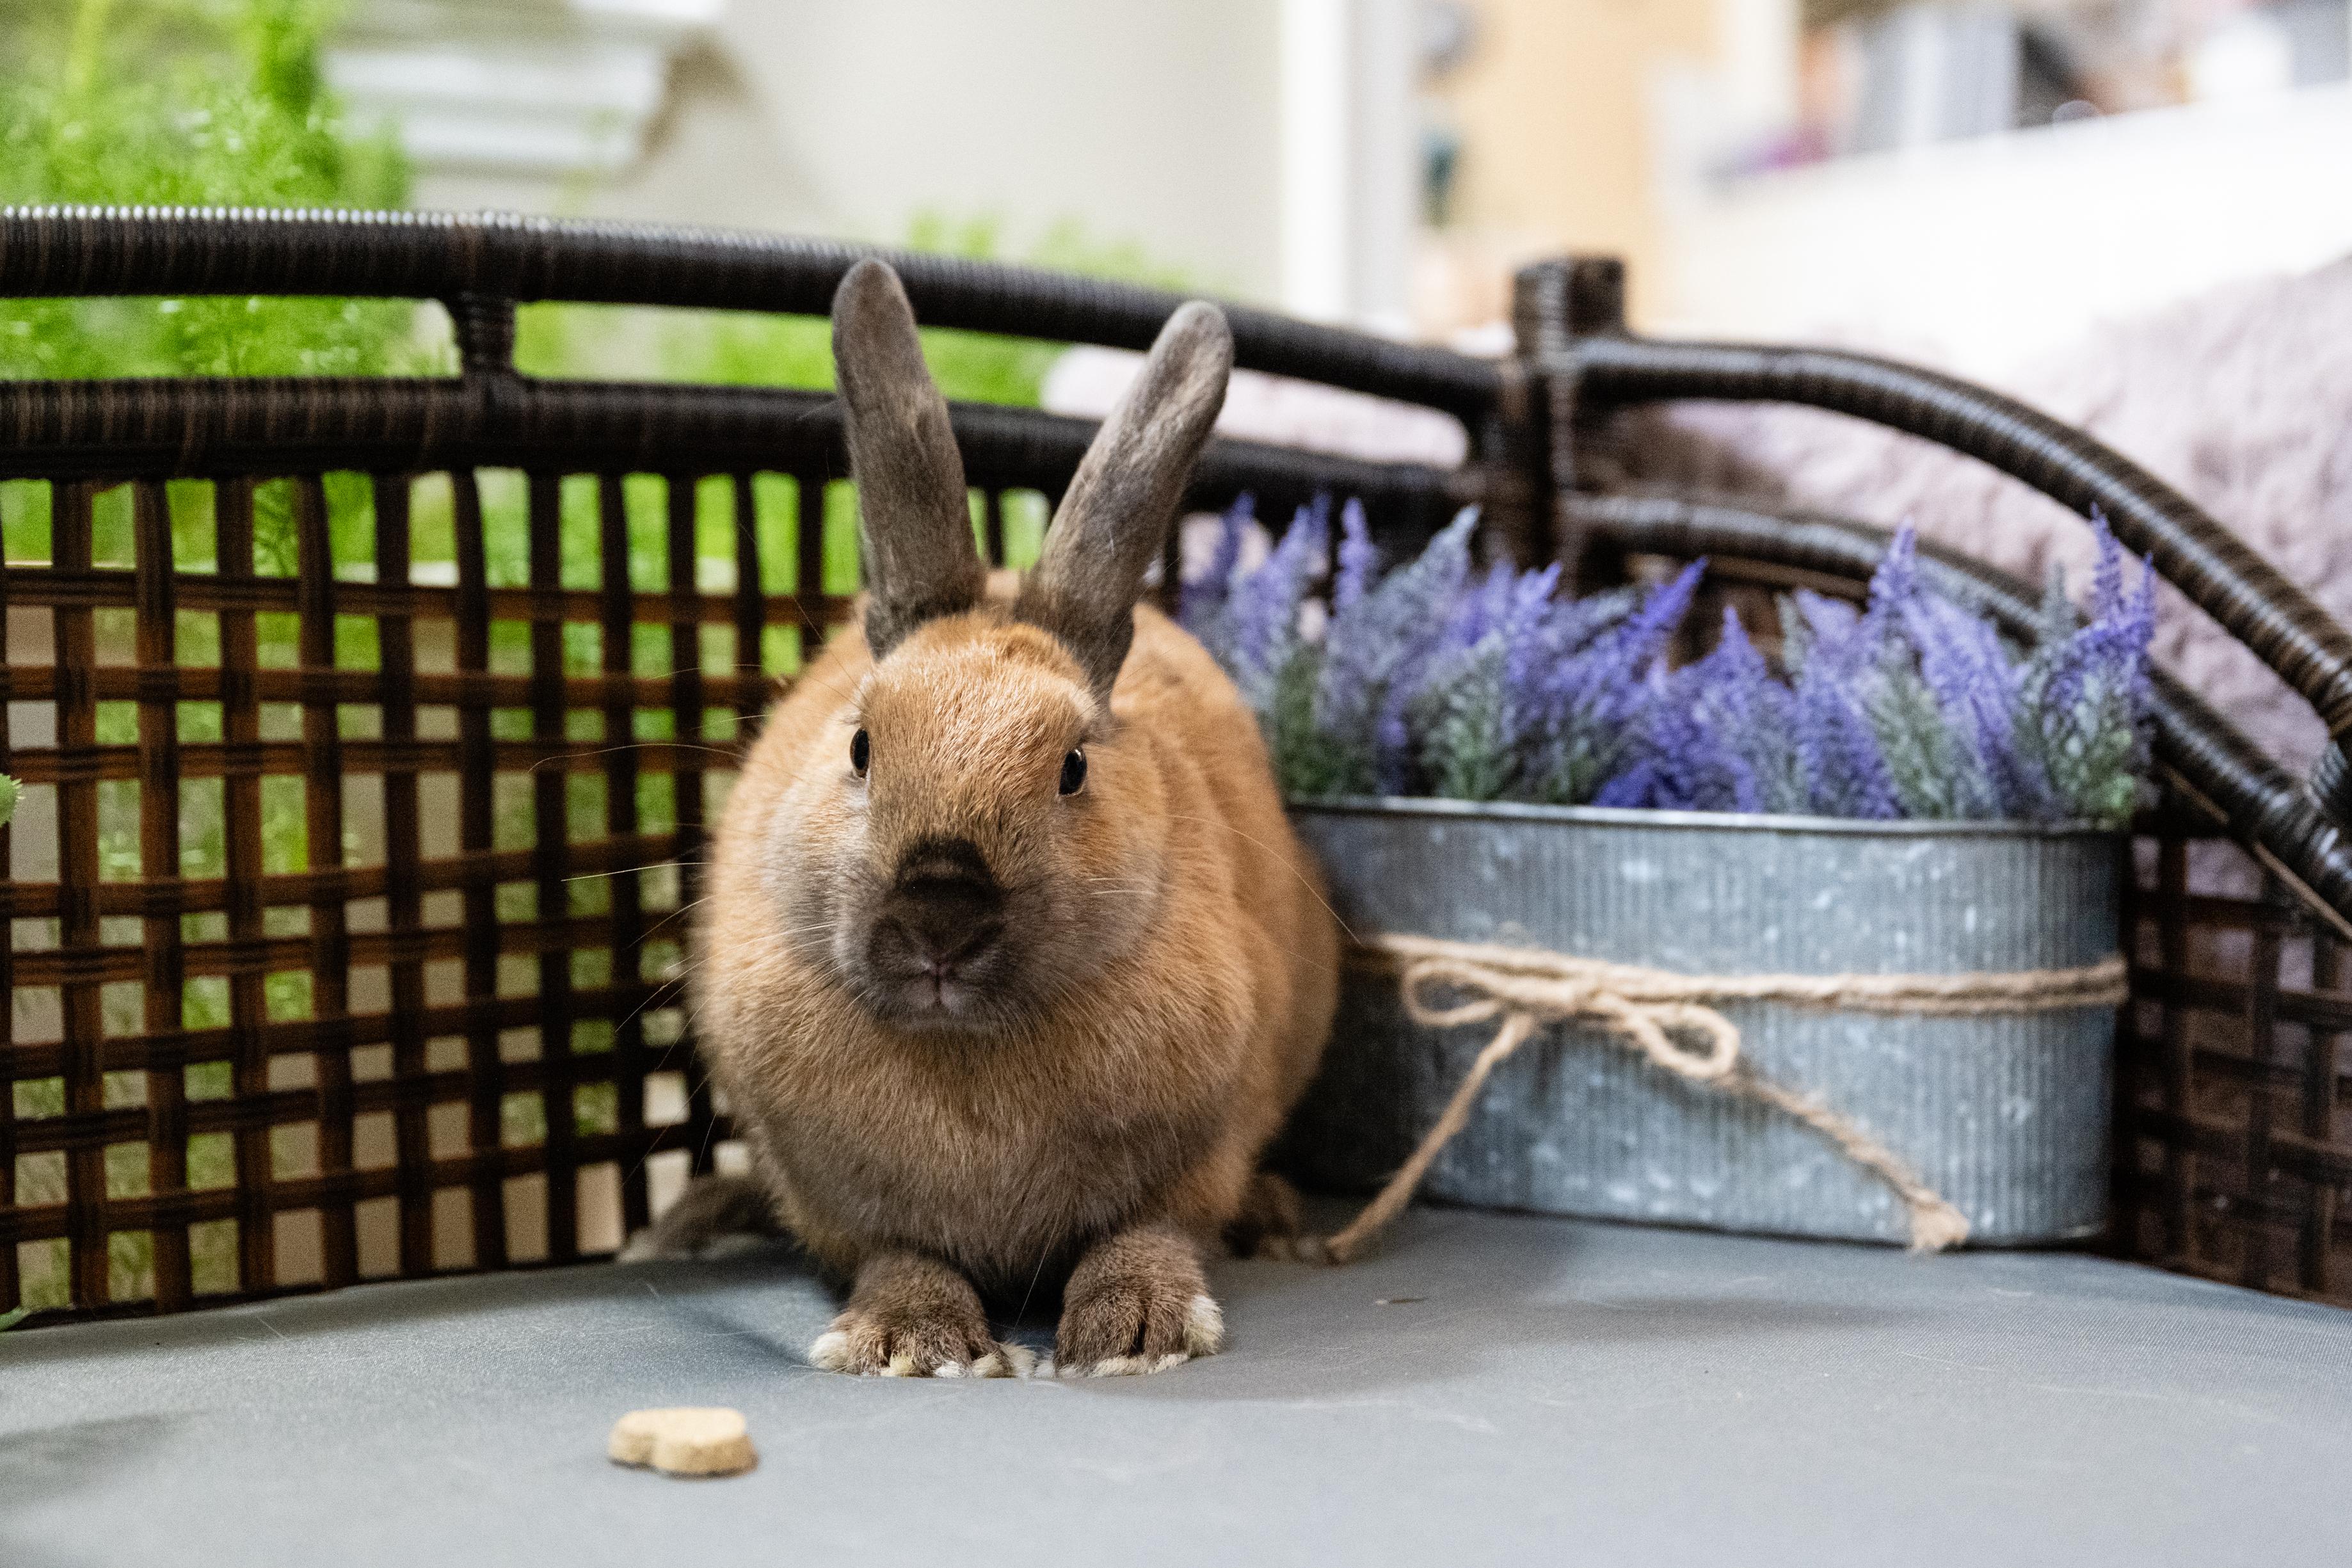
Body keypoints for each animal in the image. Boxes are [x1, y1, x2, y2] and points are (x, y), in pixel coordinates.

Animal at [624, 258, 1340, 1378]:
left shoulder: (1196, 1154)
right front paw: (909, 1342)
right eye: (861, 746)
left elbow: (1147, 1231)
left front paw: (1135, 1330)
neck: (967, 1047)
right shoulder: (846, 1207)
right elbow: (897, 1255)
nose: (939, 920)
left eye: (1073, 766)